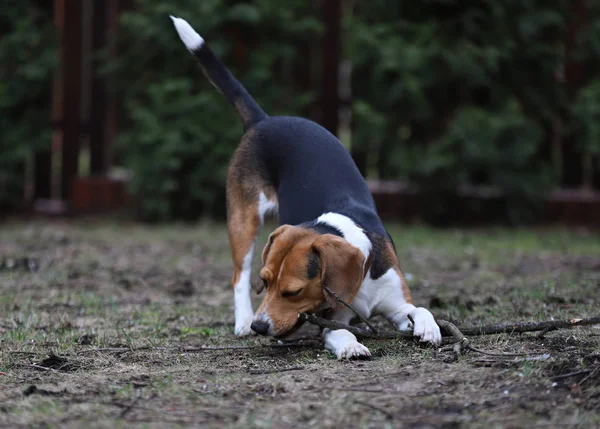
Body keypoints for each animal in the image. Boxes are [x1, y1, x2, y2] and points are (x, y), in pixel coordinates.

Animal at [171, 16, 442, 358]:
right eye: (266, 282)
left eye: (292, 291)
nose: (261, 327)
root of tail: (263, 120)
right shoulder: (333, 319)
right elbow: (341, 332)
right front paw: (351, 347)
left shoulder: (396, 300)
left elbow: (420, 310)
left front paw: (429, 328)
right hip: (243, 220)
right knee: (238, 274)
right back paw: (243, 320)